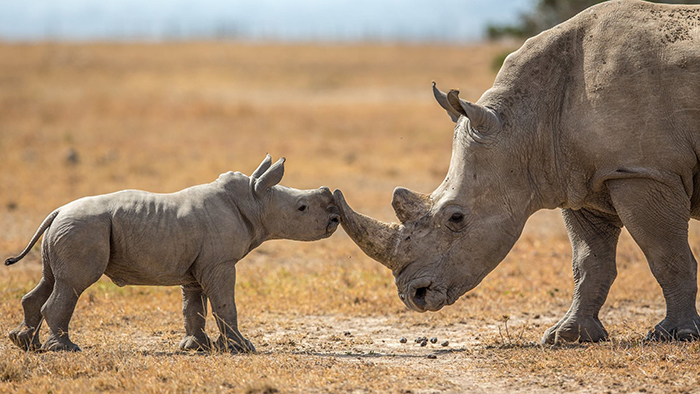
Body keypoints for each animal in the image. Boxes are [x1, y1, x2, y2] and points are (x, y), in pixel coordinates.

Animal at [6, 155, 340, 352]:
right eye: (301, 208)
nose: (335, 219)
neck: (255, 200)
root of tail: (57, 211)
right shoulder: (220, 263)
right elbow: (225, 304)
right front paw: (242, 348)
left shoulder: (196, 267)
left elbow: (193, 308)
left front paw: (195, 348)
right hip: (83, 229)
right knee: (73, 284)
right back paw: (64, 349)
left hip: (68, 228)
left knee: (51, 280)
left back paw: (25, 344)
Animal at [334, 0, 700, 344]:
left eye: (456, 218)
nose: (414, 295)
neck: (525, 123)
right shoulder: (584, 180)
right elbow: (589, 262)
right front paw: (567, 336)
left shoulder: (644, 172)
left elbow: (666, 256)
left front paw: (675, 334)